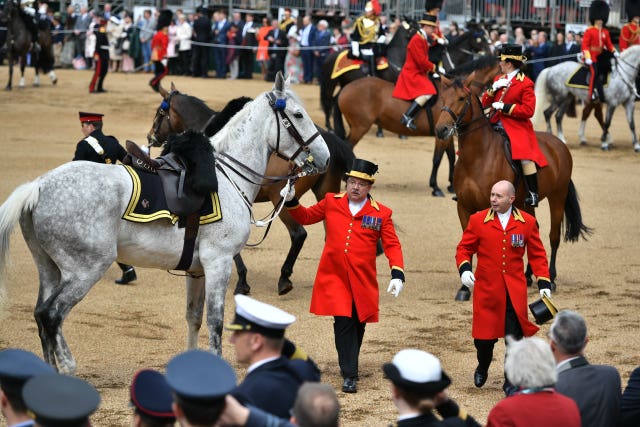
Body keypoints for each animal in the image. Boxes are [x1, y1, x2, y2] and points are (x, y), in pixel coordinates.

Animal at [0, 73, 330, 374]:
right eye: (298, 115)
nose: (325, 157)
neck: (227, 176)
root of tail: (39, 185)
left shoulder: (197, 270)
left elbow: (193, 317)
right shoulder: (219, 261)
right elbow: (215, 321)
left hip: (50, 269)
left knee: (40, 314)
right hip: (86, 268)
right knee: (51, 316)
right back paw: (68, 368)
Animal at [149, 83, 356, 298]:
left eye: (160, 112)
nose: (150, 136)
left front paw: (242, 279)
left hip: (281, 201)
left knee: (298, 234)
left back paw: (285, 278)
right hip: (326, 192)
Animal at [336, 55, 500, 197]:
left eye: (461, 98)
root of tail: (345, 89)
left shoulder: (447, 134)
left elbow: (451, 157)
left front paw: (451, 185)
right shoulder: (441, 135)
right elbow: (437, 159)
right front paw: (435, 187)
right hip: (360, 127)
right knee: (348, 146)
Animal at [436, 74, 592, 300]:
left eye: (461, 98)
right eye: (441, 98)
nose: (441, 130)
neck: (477, 156)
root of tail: (559, 144)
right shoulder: (463, 207)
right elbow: (468, 244)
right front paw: (465, 287)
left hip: (557, 196)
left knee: (553, 236)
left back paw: (551, 278)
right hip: (525, 203)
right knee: (534, 232)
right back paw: (528, 276)